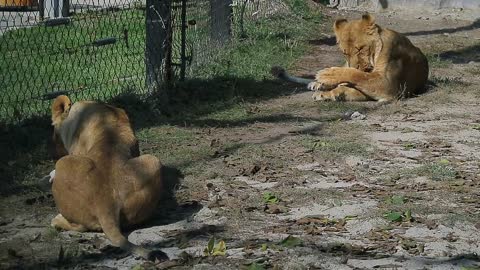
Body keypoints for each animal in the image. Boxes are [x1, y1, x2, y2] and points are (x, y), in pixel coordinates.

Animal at [48, 96, 165, 260]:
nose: (52, 153)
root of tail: (105, 203)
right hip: (153, 160)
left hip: (63, 163)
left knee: (80, 227)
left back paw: (56, 220)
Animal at [272, 12, 430, 101]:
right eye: (345, 52)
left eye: (360, 49)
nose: (356, 65)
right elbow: (352, 78)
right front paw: (326, 88)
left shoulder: (390, 85)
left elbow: (358, 76)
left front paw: (328, 80)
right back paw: (316, 83)